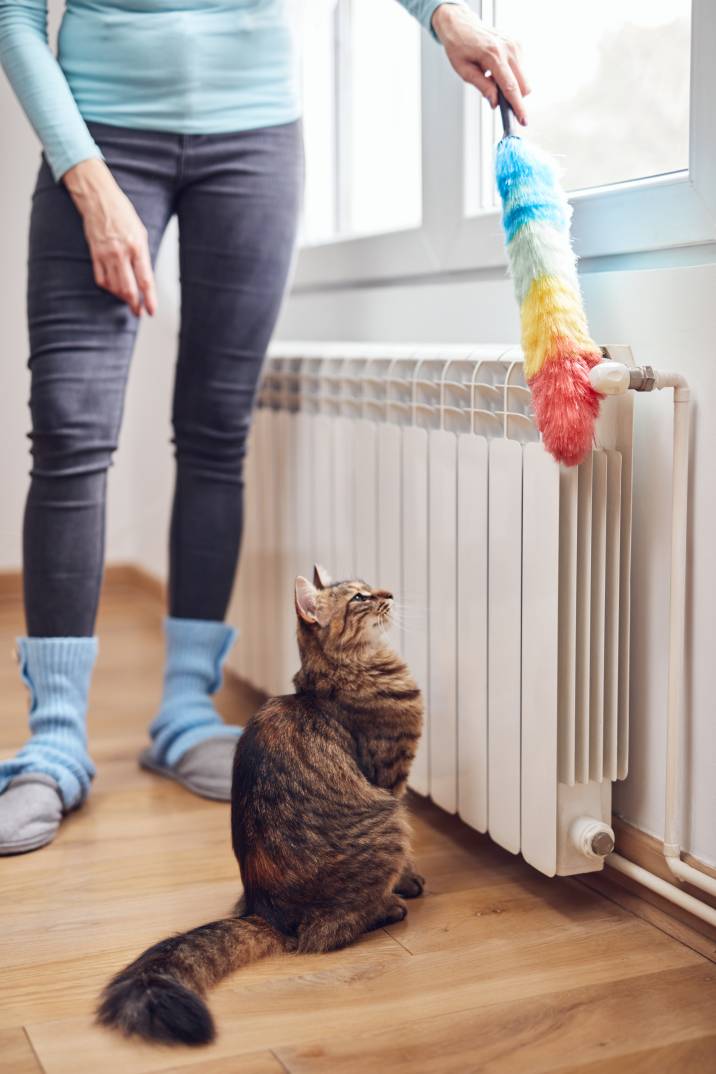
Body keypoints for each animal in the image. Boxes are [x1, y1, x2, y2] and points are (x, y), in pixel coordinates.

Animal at [97, 567, 422, 1043]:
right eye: (360, 598)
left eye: (369, 587)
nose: (391, 594)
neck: (346, 670)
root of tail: (265, 910)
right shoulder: (391, 782)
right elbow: (409, 859)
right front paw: (409, 882)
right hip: (388, 823)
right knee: (325, 933)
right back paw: (388, 907)